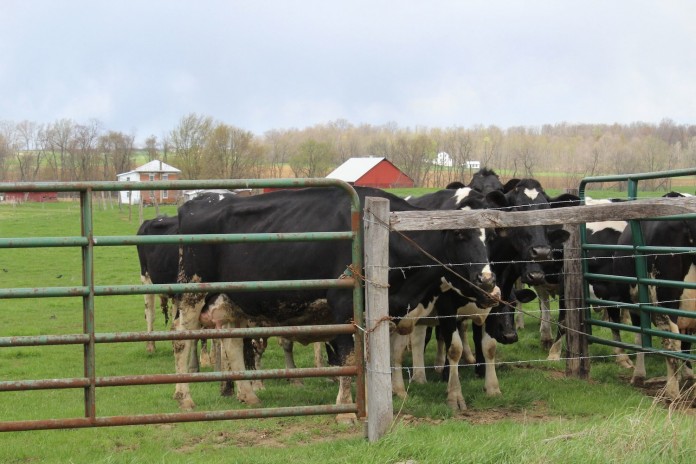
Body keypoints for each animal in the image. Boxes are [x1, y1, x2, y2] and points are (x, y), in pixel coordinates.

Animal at [172, 186, 498, 421]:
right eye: (460, 234)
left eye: (491, 236)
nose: (487, 279)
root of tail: (197, 203)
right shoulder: (345, 306)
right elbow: (349, 358)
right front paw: (346, 409)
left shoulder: (391, 310)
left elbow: (384, 355)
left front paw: (389, 394)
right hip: (192, 291)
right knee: (182, 338)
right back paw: (184, 396)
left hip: (232, 299)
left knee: (231, 342)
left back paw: (247, 395)